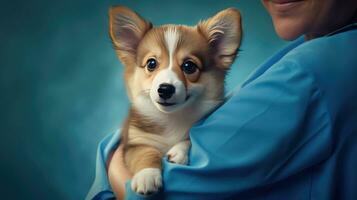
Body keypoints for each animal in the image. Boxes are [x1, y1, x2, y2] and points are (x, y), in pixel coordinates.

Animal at [108, 5, 242, 195]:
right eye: (151, 64)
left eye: (189, 66)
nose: (165, 89)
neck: (171, 118)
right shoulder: (135, 143)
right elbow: (146, 153)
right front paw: (147, 176)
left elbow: (188, 137)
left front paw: (178, 152)